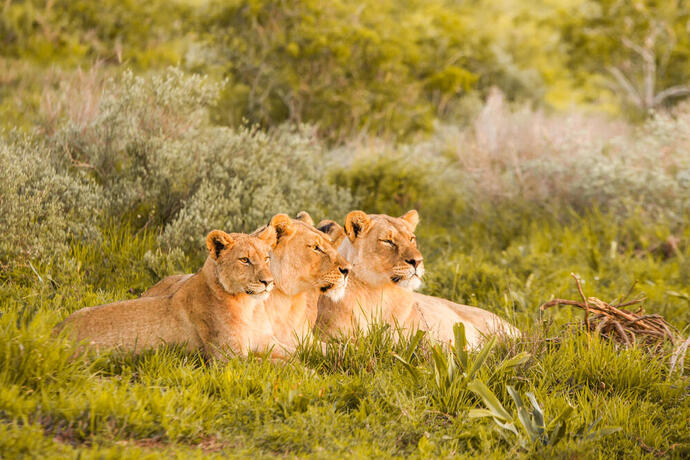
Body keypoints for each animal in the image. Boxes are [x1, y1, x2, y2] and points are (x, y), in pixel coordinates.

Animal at [55, 227, 284, 359]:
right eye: (245, 260)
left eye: (266, 258)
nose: (269, 282)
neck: (250, 306)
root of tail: (54, 333)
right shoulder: (229, 358)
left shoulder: (268, 342)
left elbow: (291, 357)